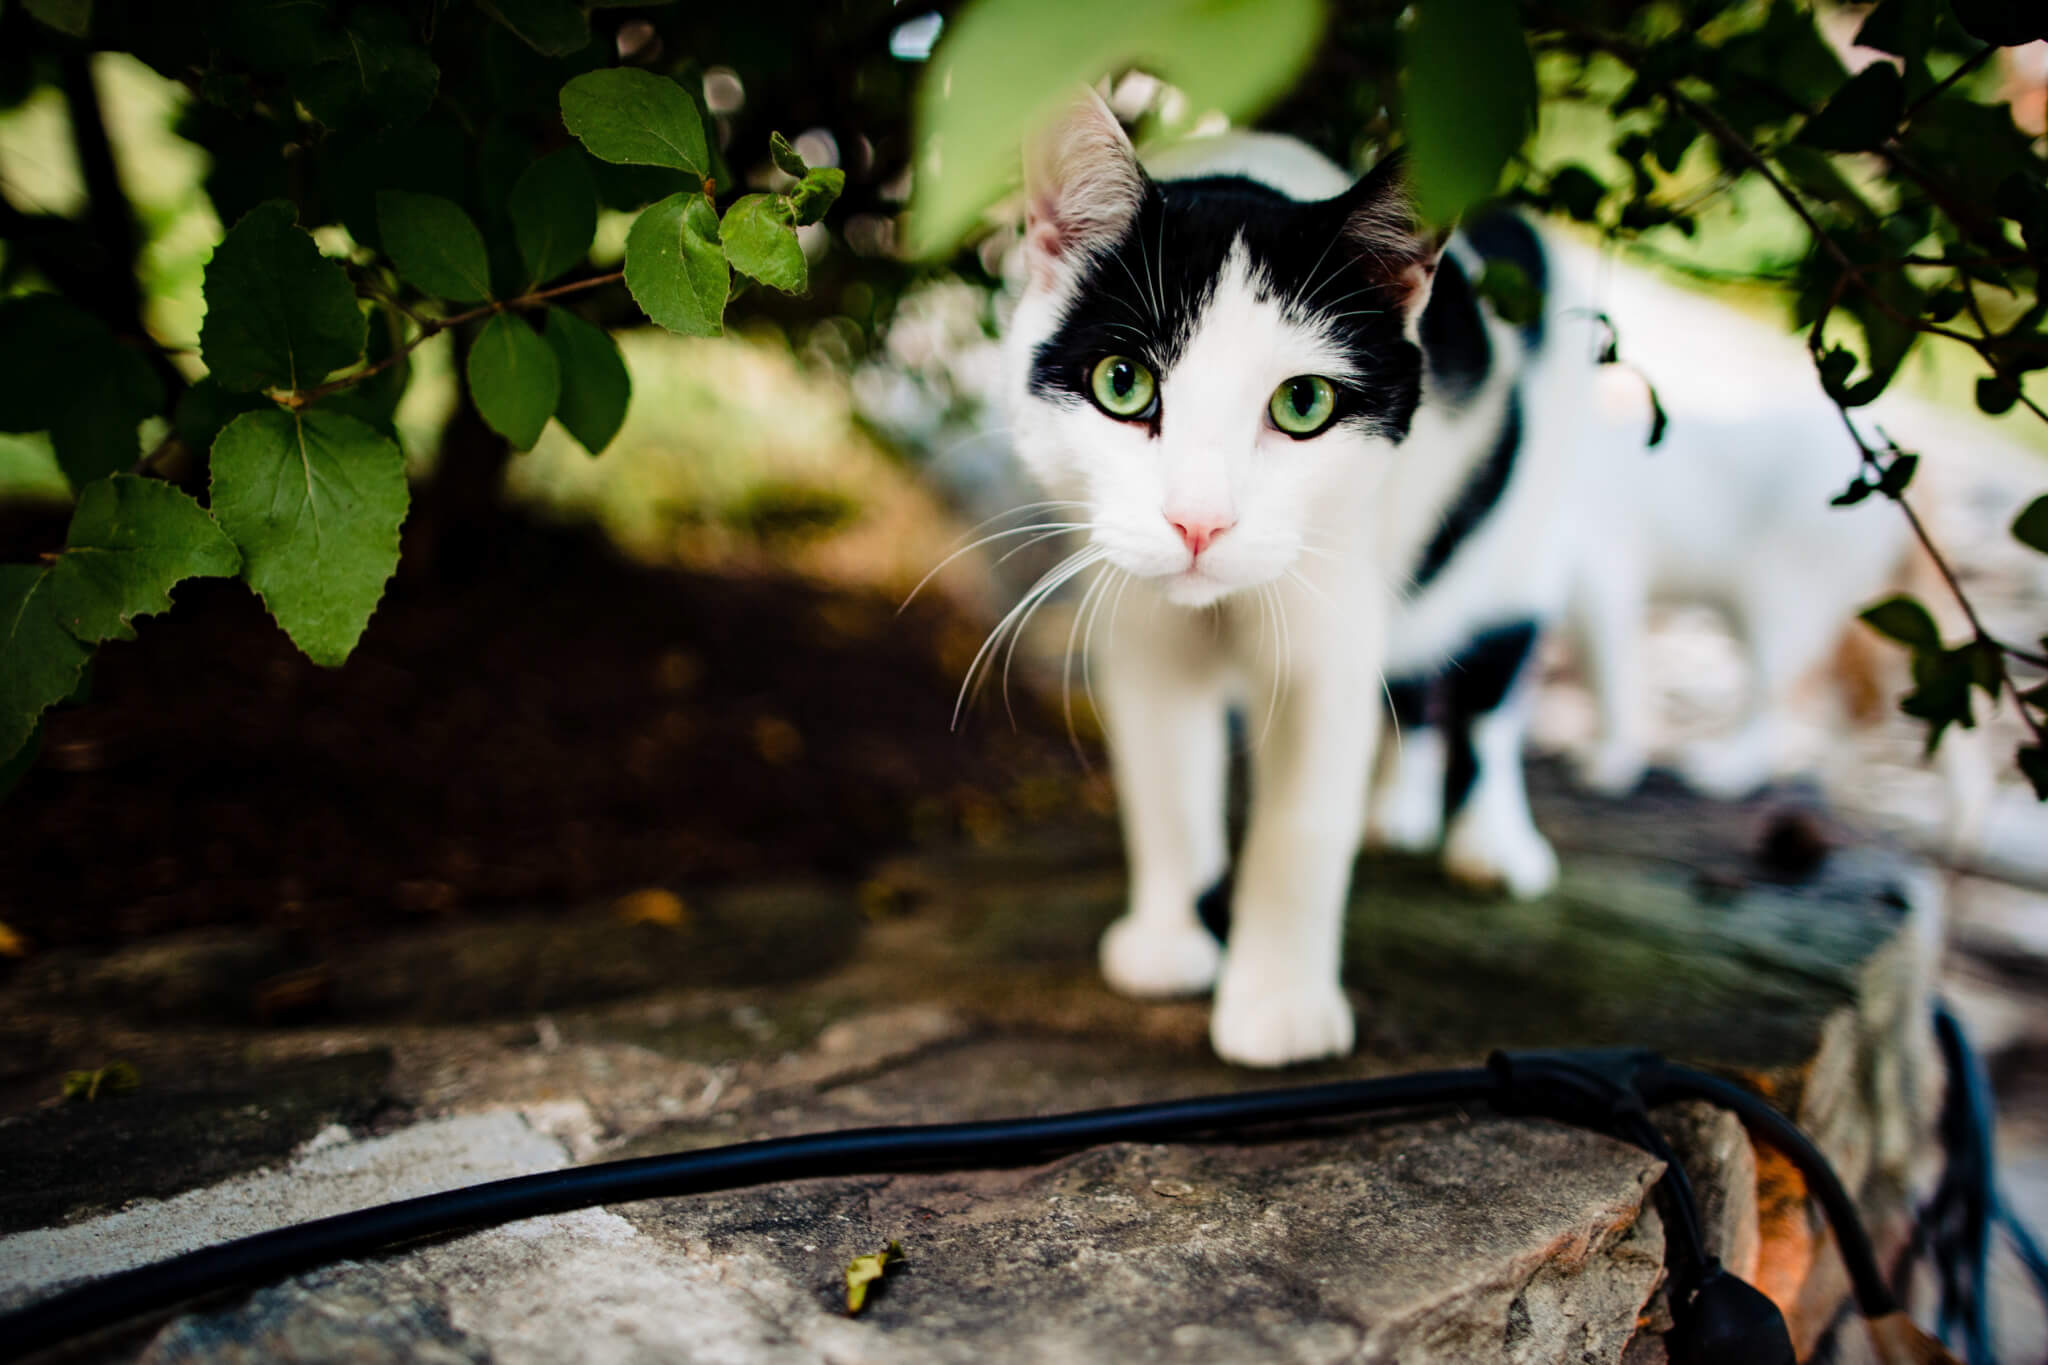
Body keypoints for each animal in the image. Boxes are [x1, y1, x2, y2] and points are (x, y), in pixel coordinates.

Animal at [1003, 96, 1597, 1064]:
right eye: (1122, 383)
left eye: (1303, 403)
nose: (1199, 522)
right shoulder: (1137, 623)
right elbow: (1165, 787)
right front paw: (1171, 937)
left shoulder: (1331, 621)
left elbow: (1301, 828)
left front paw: (1279, 1003)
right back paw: (1397, 806)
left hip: (1518, 542)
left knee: (1492, 690)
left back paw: (1491, 838)